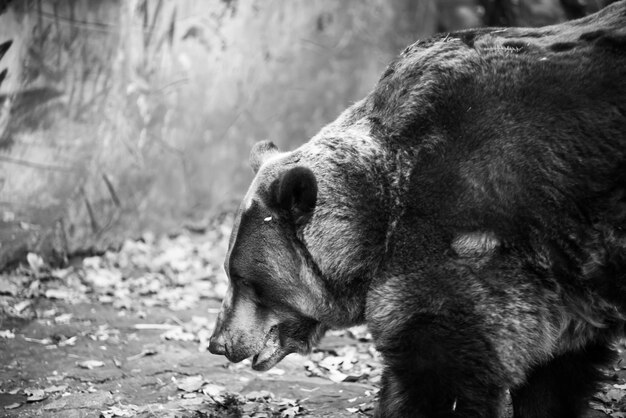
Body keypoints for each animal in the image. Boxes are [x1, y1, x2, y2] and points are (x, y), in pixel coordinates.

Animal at [210, 1, 624, 416]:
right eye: (231, 272)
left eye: (244, 279)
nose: (219, 342)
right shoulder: (556, 282)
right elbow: (557, 370)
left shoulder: (467, 233)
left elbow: (439, 366)